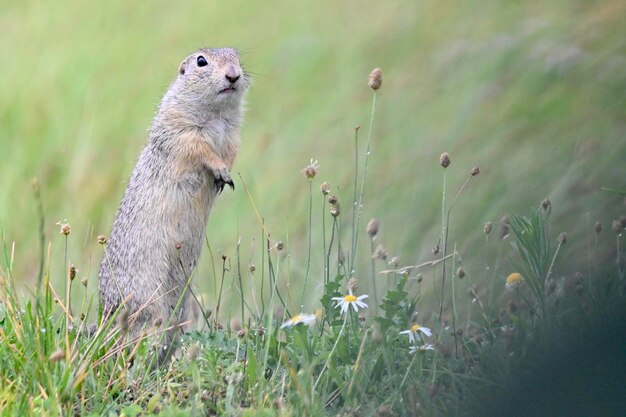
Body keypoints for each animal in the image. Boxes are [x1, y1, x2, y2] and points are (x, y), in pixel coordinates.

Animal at [97, 47, 249, 362]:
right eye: (201, 61)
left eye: (238, 57)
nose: (233, 75)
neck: (216, 115)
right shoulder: (179, 129)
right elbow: (198, 147)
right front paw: (220, 170)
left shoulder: (233, 135)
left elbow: (230, 151)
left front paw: (225, 174)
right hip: (147, 300)